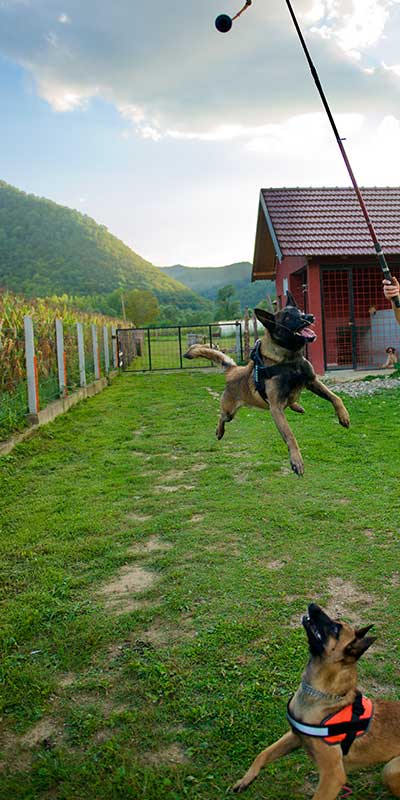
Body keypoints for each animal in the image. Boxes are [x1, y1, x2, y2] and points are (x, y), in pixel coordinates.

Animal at [183, 293, 350, 475]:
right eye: (287, 317)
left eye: (300, 311)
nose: (309, 317)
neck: (290, 359)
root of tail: (234, 370)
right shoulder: (276, 408)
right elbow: (290, 435)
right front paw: (296, 460)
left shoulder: (312, 381)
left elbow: (336, 398)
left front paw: (343, 416)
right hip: (229, 412)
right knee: (222, 417)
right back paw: (220, 431)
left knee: (292, 401)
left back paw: (297, 406)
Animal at [233, 603, 400, 799]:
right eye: (335, 622)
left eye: (335, 629)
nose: (312, 605)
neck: (320, 695)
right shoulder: (295, 736)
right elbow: (263, 753)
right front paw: (246, 779)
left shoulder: (333, 776)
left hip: (390, 770)